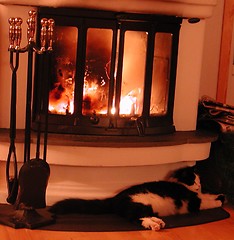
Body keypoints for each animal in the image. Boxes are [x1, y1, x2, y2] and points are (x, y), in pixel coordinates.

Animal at [49, 167, 225, 231]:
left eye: (199, 181)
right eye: (193, 180)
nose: (199, 185)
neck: (181, 185)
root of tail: (115, 198)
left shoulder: (198, 196)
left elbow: (207, 196)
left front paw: (221, 195)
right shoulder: (193, 201)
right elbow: (207, 202)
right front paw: (220, 200)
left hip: (146, 207)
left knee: (142, 217)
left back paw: (158, 222)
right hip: (139, 204)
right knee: (136, 219)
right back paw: (154, 225)